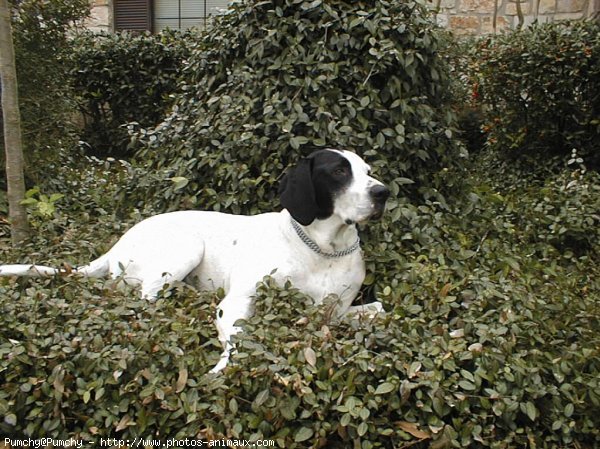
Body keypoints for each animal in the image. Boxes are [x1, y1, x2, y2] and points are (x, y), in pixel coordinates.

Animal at [1, 150, 390, 372]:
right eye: (339, 172)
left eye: (367, 169)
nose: (383, 192)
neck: (323, 249)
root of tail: (114, 247)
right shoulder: (236, 303)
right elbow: (236, 342)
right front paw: (223, 370)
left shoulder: (336, 311)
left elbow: (377, 309)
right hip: (186, 248)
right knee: (145, 300)